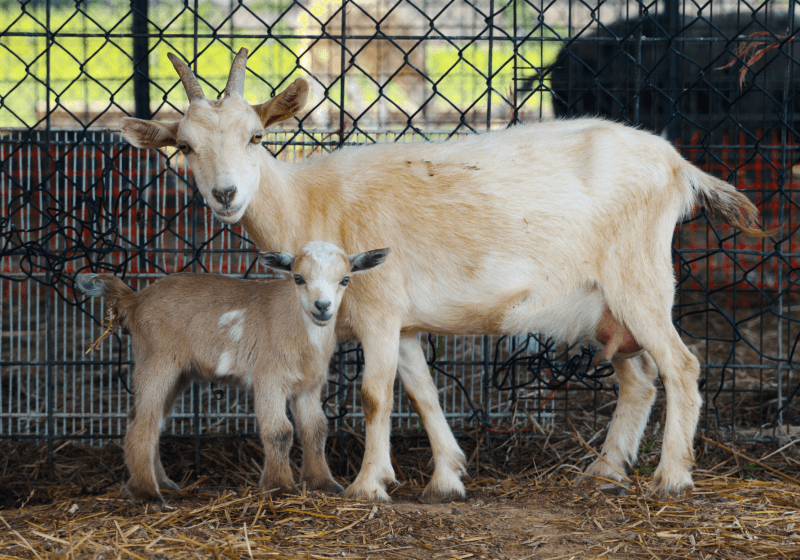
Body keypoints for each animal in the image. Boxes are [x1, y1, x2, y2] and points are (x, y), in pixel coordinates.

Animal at [75, 242, 390, 506]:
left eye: (345, 280)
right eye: (298, 278)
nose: (322, 307)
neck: (298, 327)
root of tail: (136, 300)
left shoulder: (309, 385)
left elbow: (316, 428)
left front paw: (323, 483)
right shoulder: (269, 377)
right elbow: (280, 431)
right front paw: (279, 486)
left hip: (179, 372)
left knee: (146, 418)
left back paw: (162, 483)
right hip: (157, 359)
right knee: (144, 423)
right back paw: (146, 493)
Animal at [118, 49, 768, 501]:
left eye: (256, 136)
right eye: (184, 148)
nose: (225, 195)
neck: (310, 202)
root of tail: (679, 165)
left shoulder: (379, 307)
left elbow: (375, 394)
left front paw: (367, 486)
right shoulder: (403, 323)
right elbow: (421, 393)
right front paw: (446, 478)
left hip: (639, 278)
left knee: (682, 366)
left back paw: (672, 477)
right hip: (604, 307)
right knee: (639, 380)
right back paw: (604, 471)